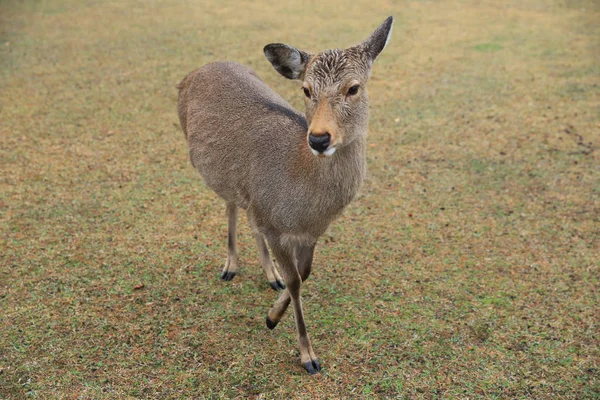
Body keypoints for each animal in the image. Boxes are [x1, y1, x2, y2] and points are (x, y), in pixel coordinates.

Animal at [177, 17, 394, 376]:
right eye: (306, 89)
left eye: (353, 88)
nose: (318, 138)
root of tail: (191, 74)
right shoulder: (276, 226)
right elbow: (296, 281)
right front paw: (307, 355)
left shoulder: (310, 232)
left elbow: (303, 275)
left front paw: (272, 315)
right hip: (222, 174)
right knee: (231, 205)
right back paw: (230, 266)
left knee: (246, 212)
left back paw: (270, 275)